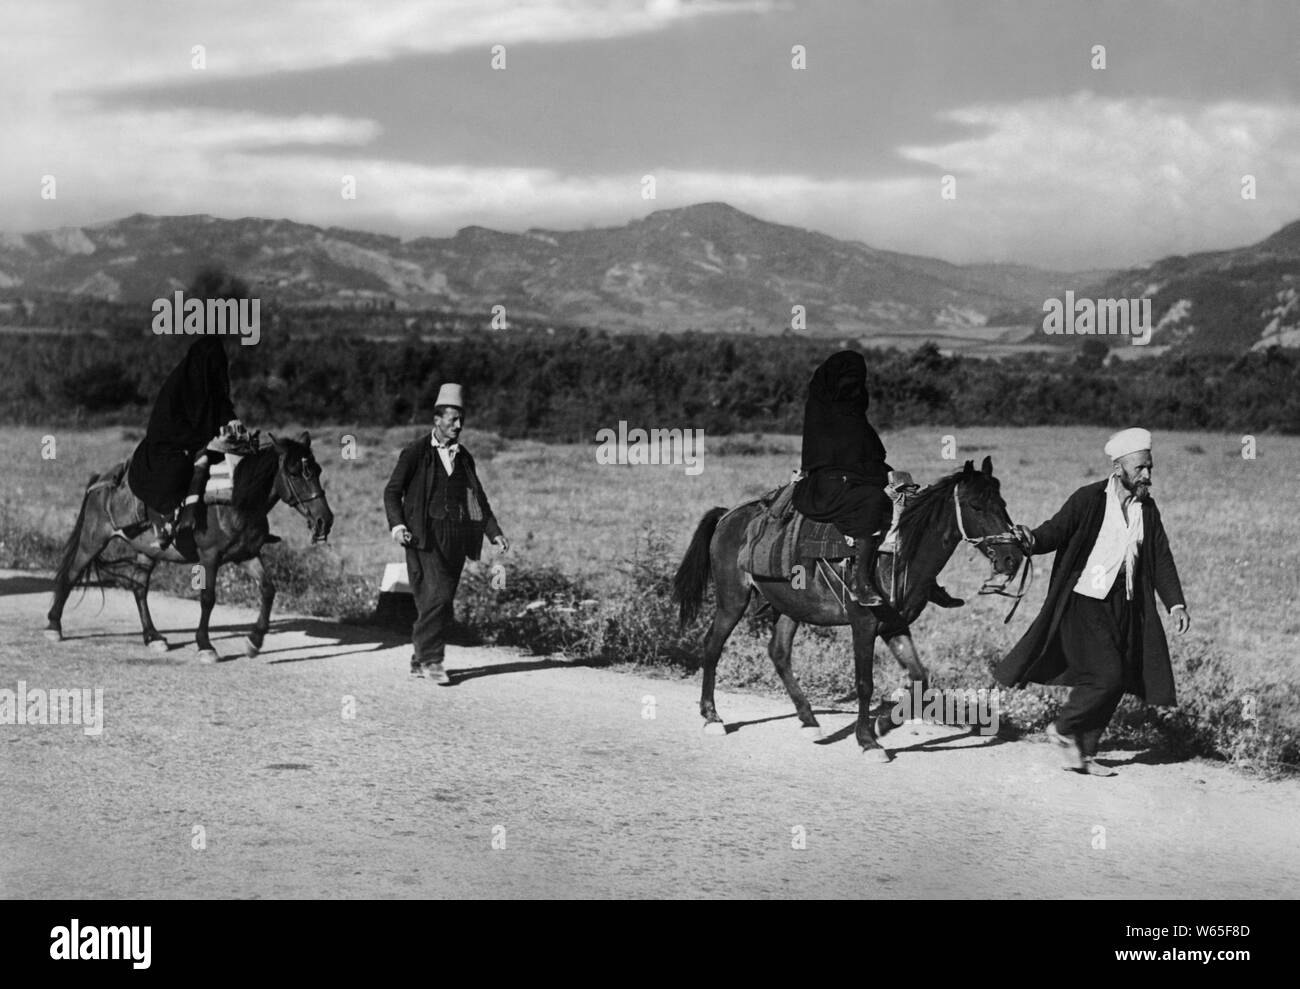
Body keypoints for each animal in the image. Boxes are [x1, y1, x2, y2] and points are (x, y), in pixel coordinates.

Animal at [47, 428, 335, 660]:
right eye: (294, 473)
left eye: (318, 471)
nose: (325, 520)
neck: (234, 501)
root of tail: (100, 480)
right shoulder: (210, 557)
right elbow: (208, 598)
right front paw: (205, 645)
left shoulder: (246, 555)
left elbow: (267, 590)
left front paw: (254, 642)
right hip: (93, 540)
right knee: (70, 575)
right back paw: (53, 627)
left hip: (147, 550)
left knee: (138, 588)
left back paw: (153, 637)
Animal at [670, 457, 1024, 764]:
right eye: (976, 506)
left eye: (1003, 505)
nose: (1012, 558)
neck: (896, 554)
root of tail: (728, 515)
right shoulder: (863, 625)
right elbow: (865, 683)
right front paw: (868, 740)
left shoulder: (895, 626)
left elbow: (921, 681)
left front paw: (882, 725)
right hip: (733, 599)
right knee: (713, 645)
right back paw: (712, 717)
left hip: (790, 607)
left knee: (779, 652)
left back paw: (809, 720)